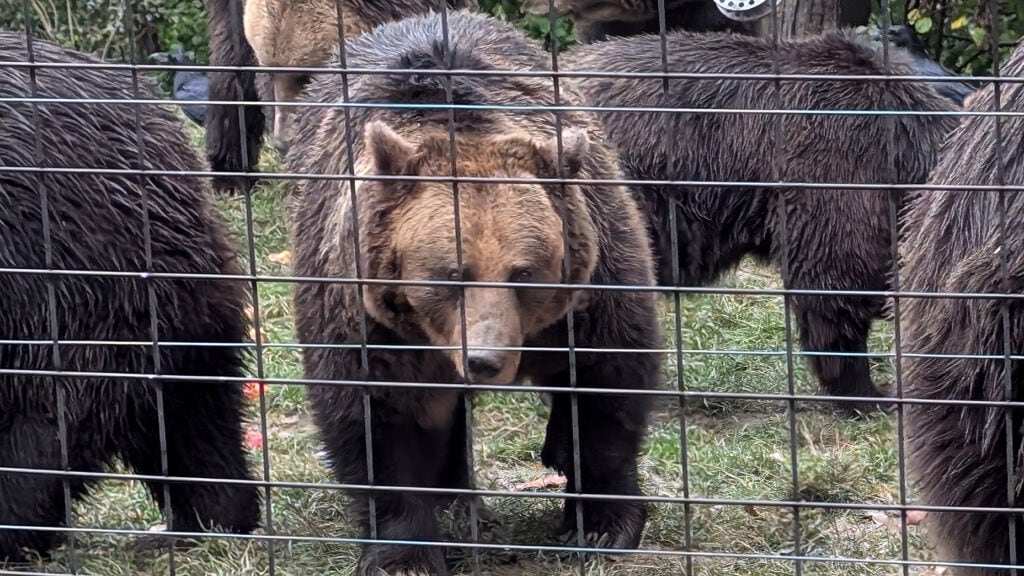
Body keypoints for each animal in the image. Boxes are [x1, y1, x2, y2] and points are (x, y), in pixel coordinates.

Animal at [285, 9, 662, 576]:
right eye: (449, 274)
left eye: (524, 273)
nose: (485, 359)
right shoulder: (364, 311)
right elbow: (377, 417)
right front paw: (406, 554)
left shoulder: (593, 284)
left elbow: (606, 382)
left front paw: (601, 523)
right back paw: (456, 497)